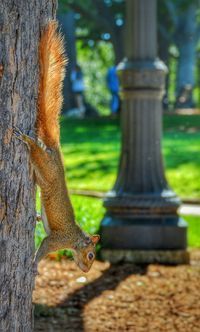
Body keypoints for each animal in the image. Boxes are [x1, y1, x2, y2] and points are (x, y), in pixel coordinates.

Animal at [13, 21, 100, 274]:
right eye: (91, 255)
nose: (86, 271)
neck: (74, 239)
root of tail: (56, 153)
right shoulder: (56, 240)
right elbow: (42, 248)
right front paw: (34, 265)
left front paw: (37, 218)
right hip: (45, 164)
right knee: (35, 150)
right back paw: (26, 139)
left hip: (42, 169)